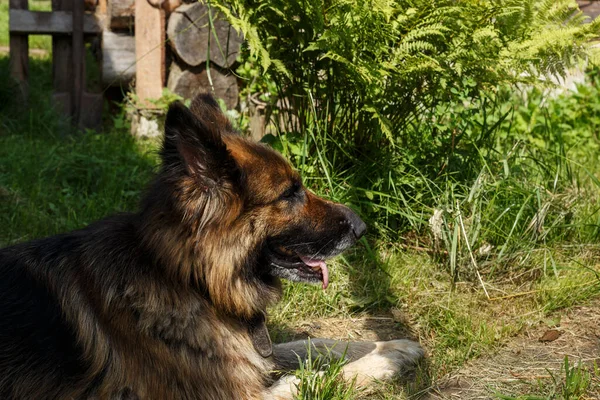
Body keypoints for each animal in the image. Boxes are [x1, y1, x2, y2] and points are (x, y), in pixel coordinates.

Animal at [0, 94, 422, 400]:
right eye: (289, 194)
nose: (363, 227)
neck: (187, 278)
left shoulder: (248, 352)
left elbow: (309, 343)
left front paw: (391, 346)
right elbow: (313, 379)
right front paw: (384, 361)